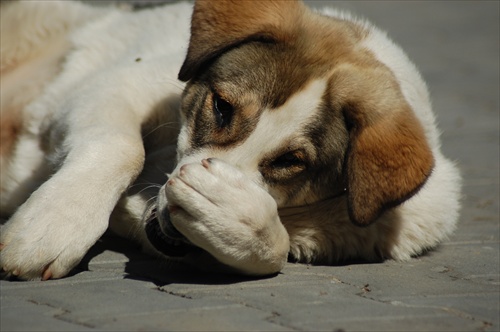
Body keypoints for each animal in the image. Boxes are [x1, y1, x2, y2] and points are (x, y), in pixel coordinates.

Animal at [0, 0, 460, 280]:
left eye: (291, 161)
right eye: (222, 107)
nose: (175, 226)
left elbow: (275, 247)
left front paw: (228, 213)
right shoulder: (117, 84)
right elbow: (122, 147)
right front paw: (50, 230)